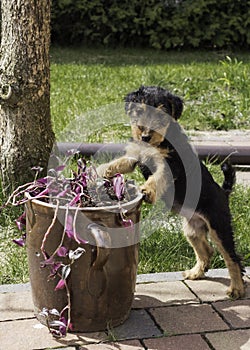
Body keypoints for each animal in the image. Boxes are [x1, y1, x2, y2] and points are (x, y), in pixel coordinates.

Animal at [97, 85, 244, 298]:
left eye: (161, 115)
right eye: (138, 112)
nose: (145, 136)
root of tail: (223, 193)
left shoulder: (169, 165)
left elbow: (157, 178)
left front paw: (147, 190)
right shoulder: (135, 155)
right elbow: (119, 162)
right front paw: (101, 169)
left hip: (219, 225)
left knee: (232, 257)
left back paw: (237, 289)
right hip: (192, 228)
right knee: (206, 250)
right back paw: (195, 272)